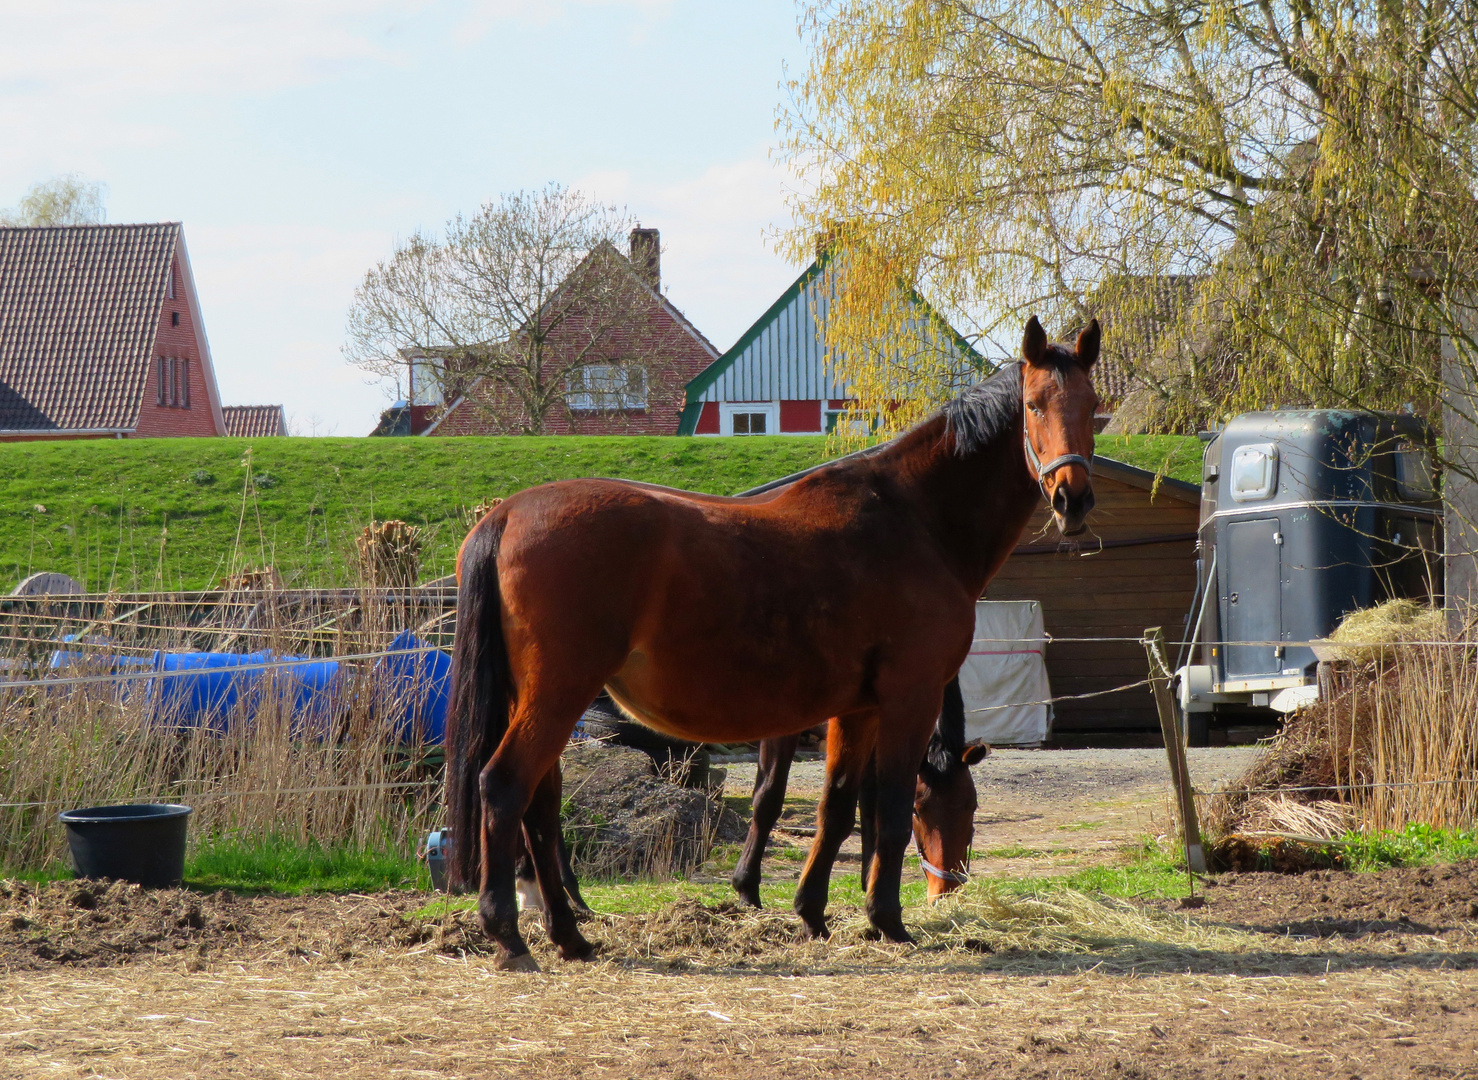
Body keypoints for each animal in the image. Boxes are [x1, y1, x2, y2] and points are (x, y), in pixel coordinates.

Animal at [733, 679, 987, 910]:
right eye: (916, 811)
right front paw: (746, 887)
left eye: (972, 807)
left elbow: (870, 803)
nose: (946, 892)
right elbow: (768, 798)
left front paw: (870, 884)